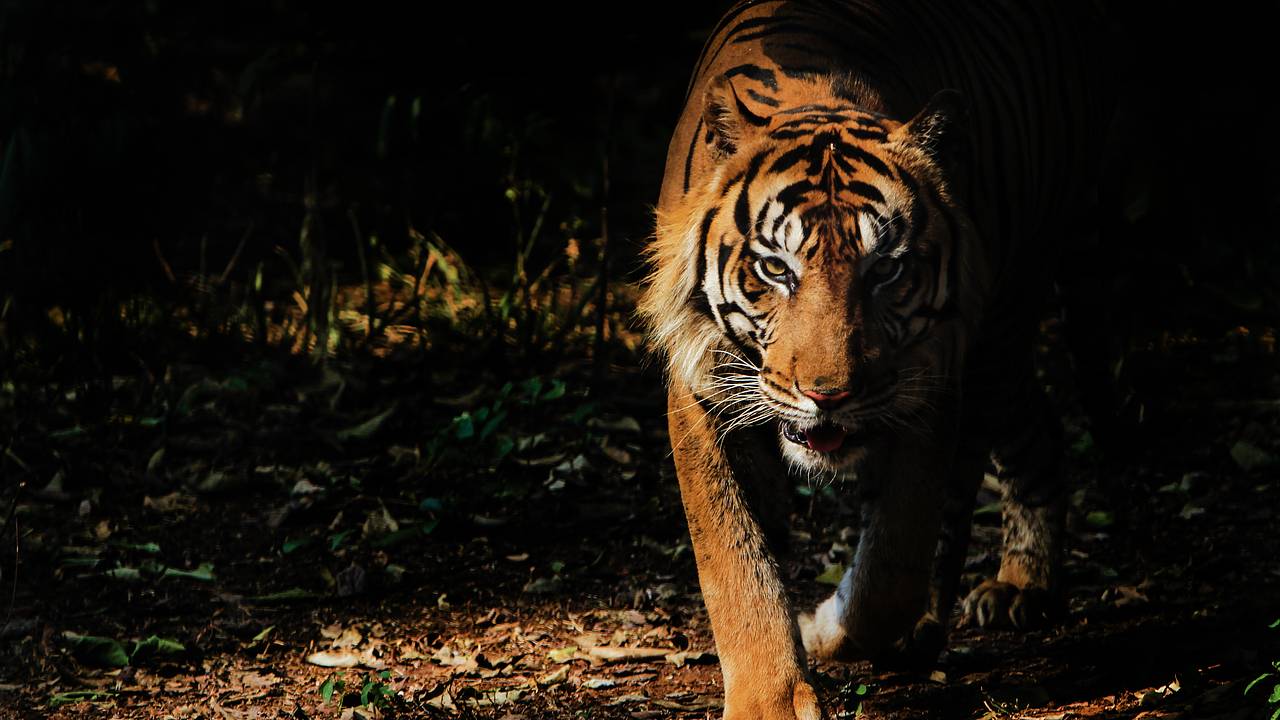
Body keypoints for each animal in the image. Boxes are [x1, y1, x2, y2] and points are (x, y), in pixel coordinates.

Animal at [638, 1, 1108, 717]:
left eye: (885, 269)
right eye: (776, 269)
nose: (828, 395)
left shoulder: (933, 381)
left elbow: (896, 555)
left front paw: (827, 628)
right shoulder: (701, 388)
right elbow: (735, 559)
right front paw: (769, 699)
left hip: (1004, 314)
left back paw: (993, 597)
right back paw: (1023, 584)